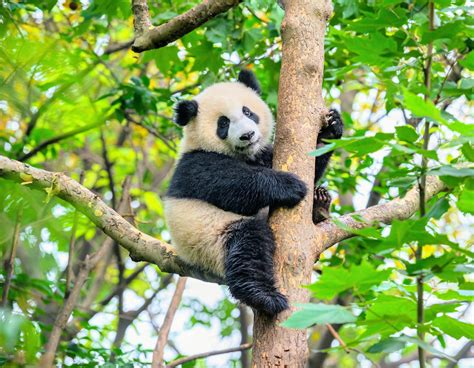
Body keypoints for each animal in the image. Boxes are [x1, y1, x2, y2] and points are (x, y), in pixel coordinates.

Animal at [163, 69, 340, 316]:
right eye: (223, 123)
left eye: (248, 111)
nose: (247, 135)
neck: (243, 155)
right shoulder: (196, 164)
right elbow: (233, 186)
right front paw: (289, 186)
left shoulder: (263, 154)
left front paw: (331, 128)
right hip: (208, 239)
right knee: (248, 245)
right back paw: (264, 296)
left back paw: (320, 204)